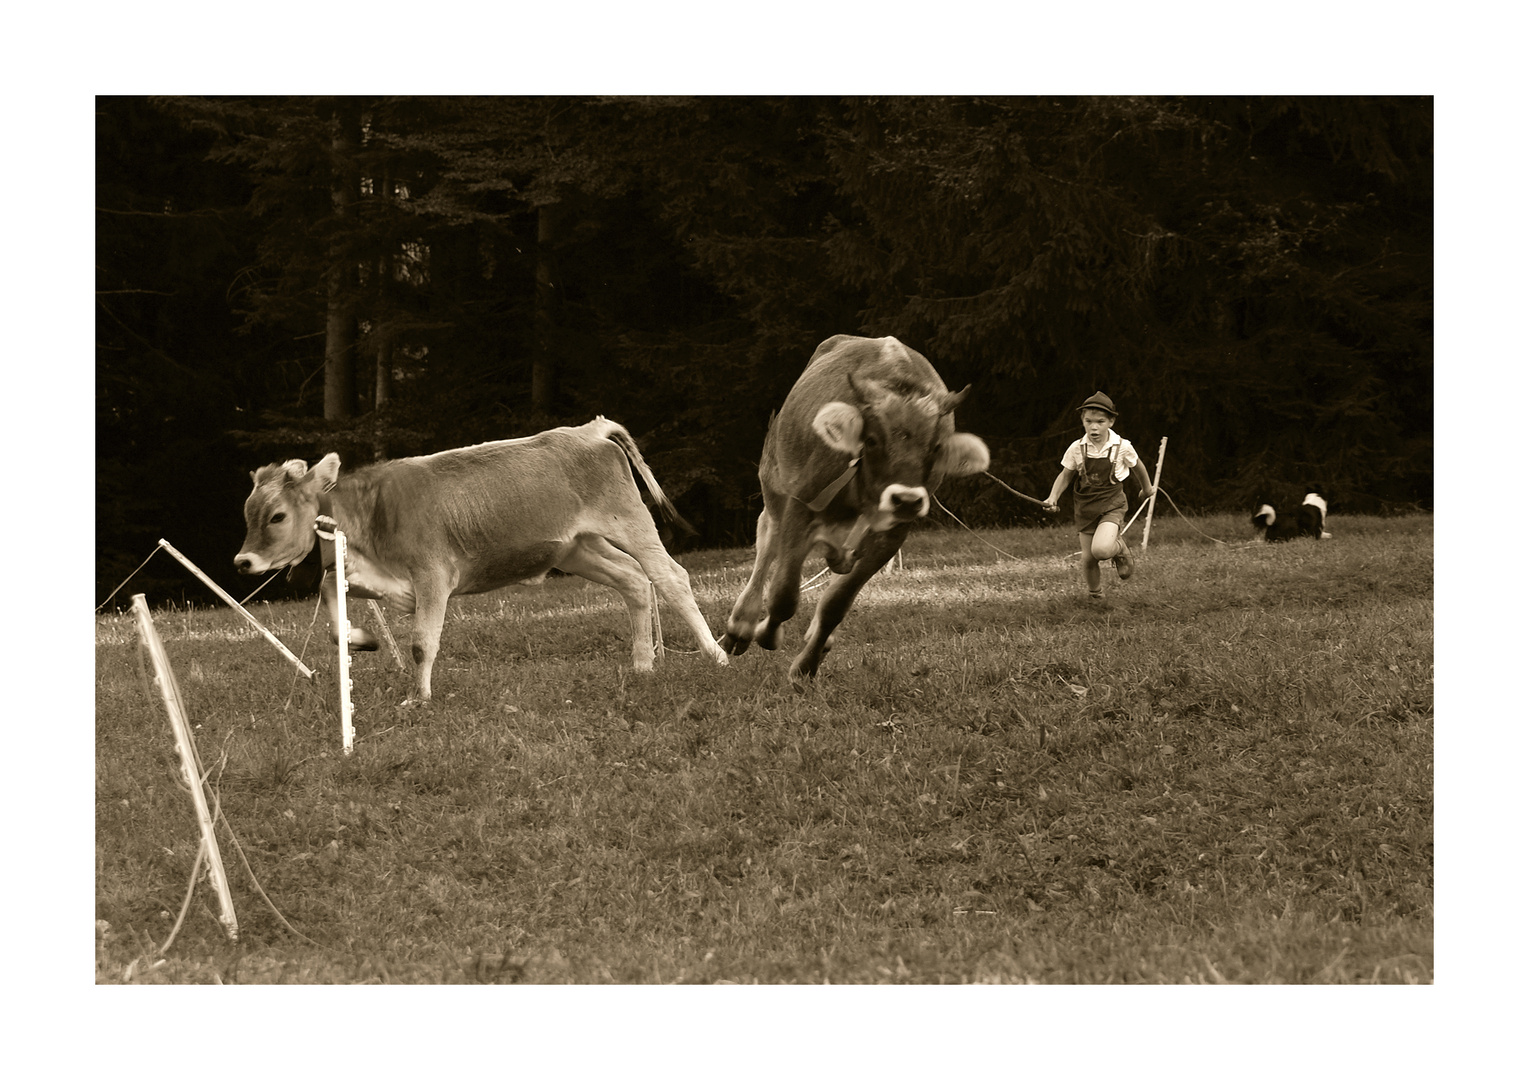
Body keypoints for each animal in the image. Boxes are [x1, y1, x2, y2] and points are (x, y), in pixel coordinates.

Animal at [235, 413, 730, 697]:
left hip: (628, 519)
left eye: (277, 516)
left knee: (670, 577)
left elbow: (421, 642)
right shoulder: (366, 576)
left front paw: (418, 698)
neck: (371, 515)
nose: (243, 562)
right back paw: (643, 665)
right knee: (633, 581)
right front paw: (361, 639)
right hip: (576, 547)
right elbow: (329, 606)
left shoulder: (432, 575)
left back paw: (715, 655)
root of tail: (586, 429)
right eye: (248, 513)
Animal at [718, 331, 990, 682]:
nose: (906, 499)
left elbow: (837, 602)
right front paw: (767, 632)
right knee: (767, 541)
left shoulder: (891, 533)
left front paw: (806, 666)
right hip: (773, 480)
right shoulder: (801, 504)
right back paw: (741, 627)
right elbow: (783, 593)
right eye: (871, 439)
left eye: (936, 446)